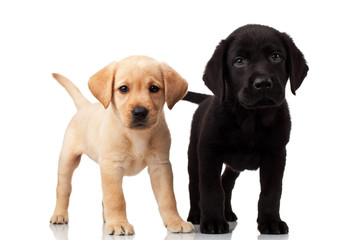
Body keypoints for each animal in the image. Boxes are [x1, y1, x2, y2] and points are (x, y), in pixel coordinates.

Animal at [50, 55, 194, 234]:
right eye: (123, 89)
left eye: (154, 88)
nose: (139, 112)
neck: (136, 135)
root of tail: (85, 106)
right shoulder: (112, 166)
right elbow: (116, 198)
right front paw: (119, 223)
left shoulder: (160, 165)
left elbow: (168, 197)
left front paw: (175, 221)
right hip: (68, 160)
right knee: (63, 189)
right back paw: (59, 215)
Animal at [184, 24, 308, 234]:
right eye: (239, 61)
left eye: (276, 56)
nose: (263, 83)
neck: (251, 118)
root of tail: (206, 99)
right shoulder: (209, 153)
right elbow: (210, 189)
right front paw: (213, 221)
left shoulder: (276, 154)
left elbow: (271, 192)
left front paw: (271, 222)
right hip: (194, 155)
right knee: (195, 185)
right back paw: (196, 215)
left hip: (235, 165)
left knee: (226, 182)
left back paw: (227, 213)